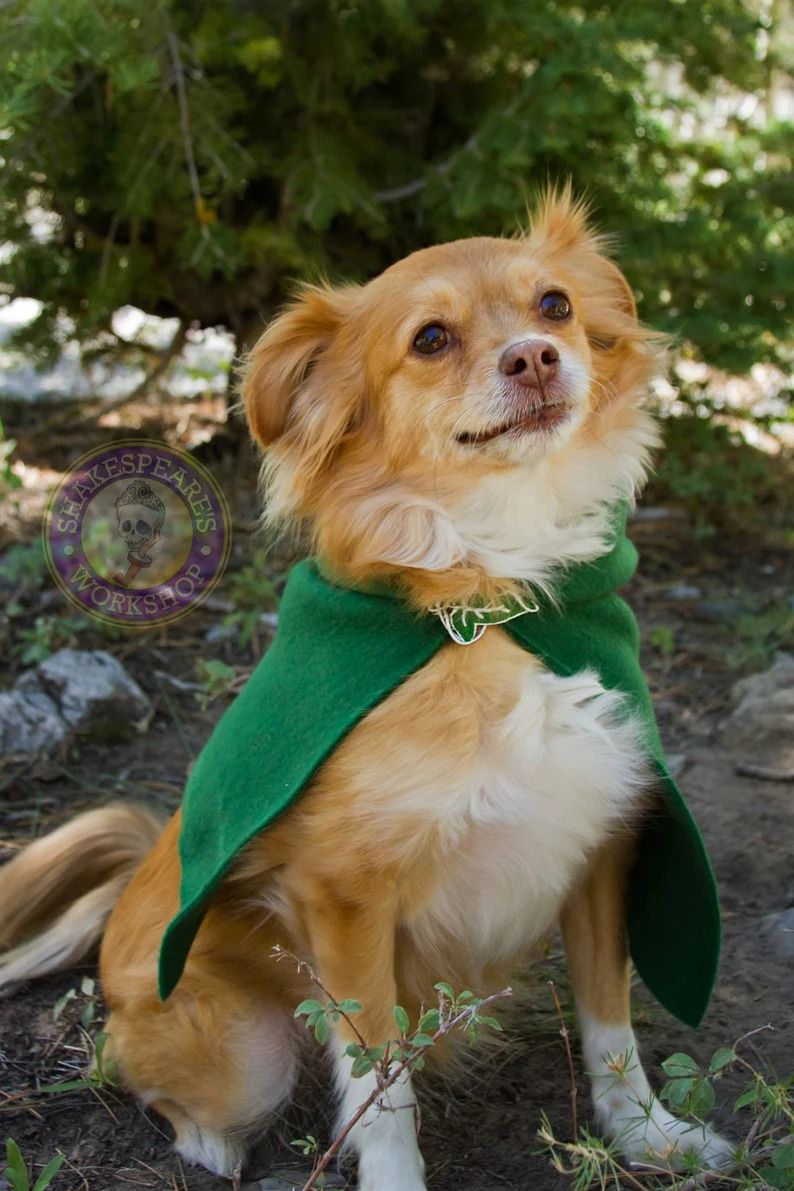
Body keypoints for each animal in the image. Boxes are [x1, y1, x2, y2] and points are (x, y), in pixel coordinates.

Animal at [1, 192, 733, 1191]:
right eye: (429, 338)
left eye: (555, 306)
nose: (536, 356)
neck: (492, 594)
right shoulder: (346, 898)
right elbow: (382, 1081)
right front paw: (395, 1176)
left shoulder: (601, 848)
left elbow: (609, 1018)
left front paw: (649, 1133)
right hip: (243, 1047)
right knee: (142, 1065)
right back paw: (207, 1140)